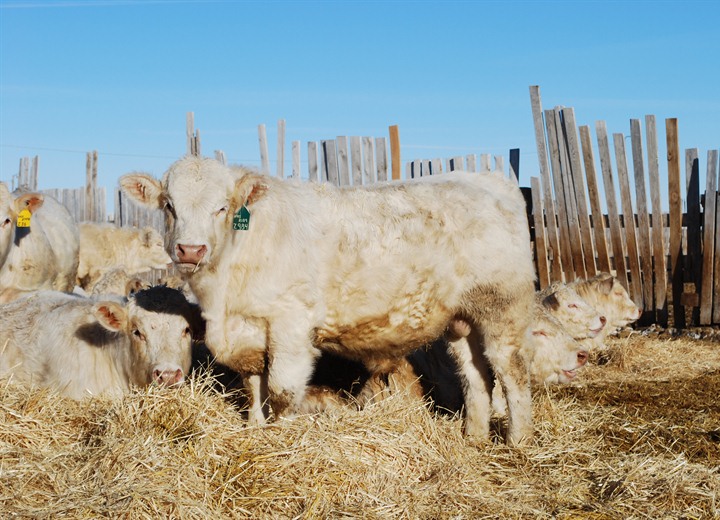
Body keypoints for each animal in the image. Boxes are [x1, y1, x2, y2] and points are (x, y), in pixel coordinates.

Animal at [119, 156, 537, 444]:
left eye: (222, 207)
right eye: (169, 206)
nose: (190, 249)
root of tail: (487, 178)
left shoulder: (290, 325)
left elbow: (282, 390)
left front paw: (282, 437)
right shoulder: (248, 331)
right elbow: (254, 385)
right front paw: (255, 428)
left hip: (503, 309)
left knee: (512, 373)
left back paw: (517, 441)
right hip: (463, 321)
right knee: (475, 375)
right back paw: (474, 437)